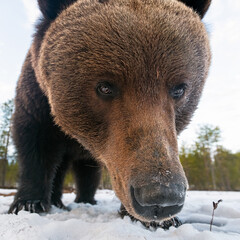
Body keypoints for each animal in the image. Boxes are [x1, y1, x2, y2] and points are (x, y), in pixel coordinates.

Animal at [8, 0, 212, 225]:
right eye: (105, 87)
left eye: (179, 89)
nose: (162, 196)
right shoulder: (37, 101)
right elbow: (34, 145)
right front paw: (28, 203)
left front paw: (160, 221)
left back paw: (86, 200)